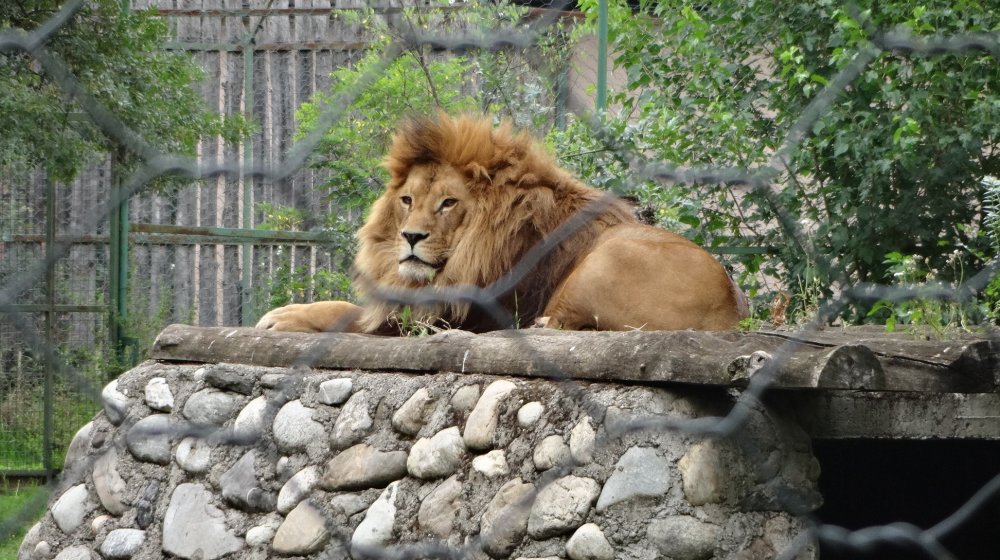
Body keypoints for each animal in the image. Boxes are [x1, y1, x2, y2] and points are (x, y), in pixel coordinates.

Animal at [254, 114, 748, 332]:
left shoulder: (452, 314)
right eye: (408, 200)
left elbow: (351, 313)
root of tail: (732, 312)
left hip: (606, 261)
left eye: (448, 203)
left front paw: (284, 317)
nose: (410, 237)